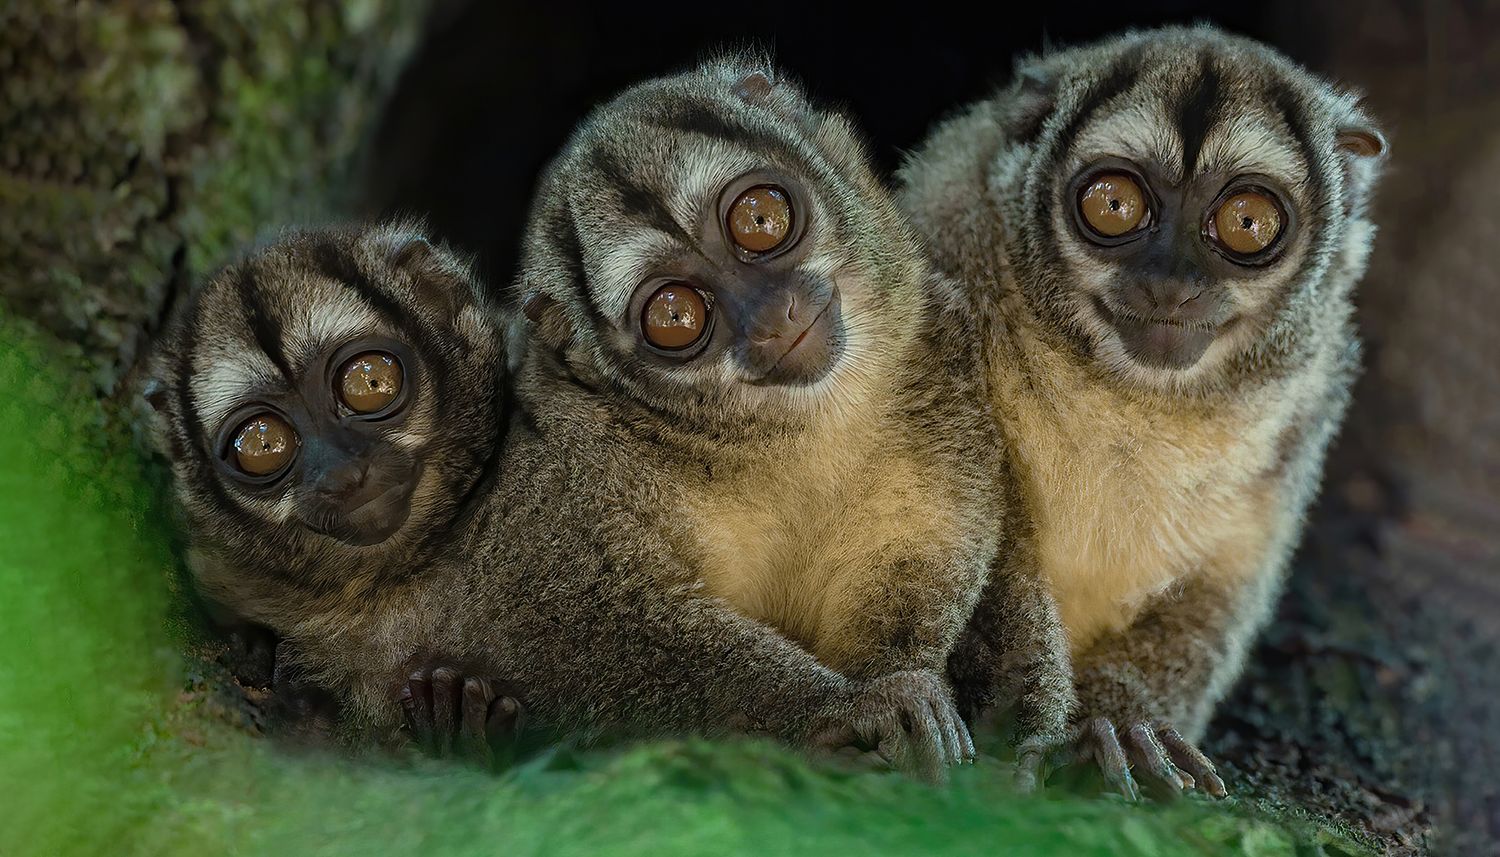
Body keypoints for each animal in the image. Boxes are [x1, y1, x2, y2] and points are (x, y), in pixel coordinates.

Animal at [898, 25, 1387, 799]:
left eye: (1247, 222)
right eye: (1114, 205)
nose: (1170, 284)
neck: (1137, 391)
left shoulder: (1311, 394)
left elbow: (1220, 580)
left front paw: (1122, 726)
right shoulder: (950, 245)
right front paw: (1022, 726)